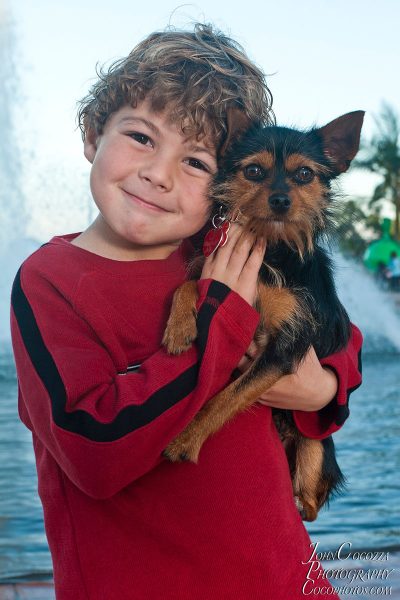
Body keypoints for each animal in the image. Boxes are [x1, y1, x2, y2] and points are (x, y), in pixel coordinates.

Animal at [161, 111, 364, 520]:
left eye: (304, 174)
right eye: (254, 171)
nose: (281, 200)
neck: (272, 248)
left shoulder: (282, 351)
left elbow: (225, 397)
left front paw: (186, 438)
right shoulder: (214, 271)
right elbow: (190, 283)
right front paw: (179, 328)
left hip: (315, 453)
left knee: (309, 505)